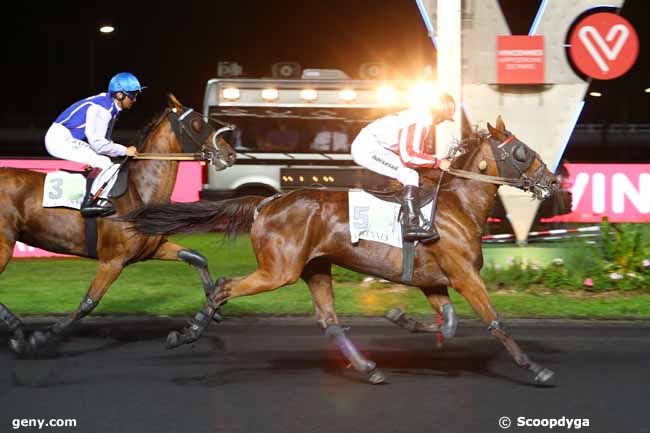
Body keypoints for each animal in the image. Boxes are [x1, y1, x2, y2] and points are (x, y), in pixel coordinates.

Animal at [0, 93, 237, 352]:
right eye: (197, 123)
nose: (230, 154)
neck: (139, 191)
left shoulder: (153, 248)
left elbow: (197, 258)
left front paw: (206, 315)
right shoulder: (112, 261)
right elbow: (88, 302)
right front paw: (40, 337)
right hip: (4, 244)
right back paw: (16, 328)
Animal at [125, 116, 556, 384]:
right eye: (521, 152)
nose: (552, 180)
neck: (458, 204)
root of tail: (267, 203)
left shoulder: (434, 281)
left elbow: (448, 323)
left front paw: (401, 318)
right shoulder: (465, 276)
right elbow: (495, 321)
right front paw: (535, 368)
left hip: (315, 268)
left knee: (329, 321)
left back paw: (369, 368)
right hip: (278, 271)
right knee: (225, 287)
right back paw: (188, 333)